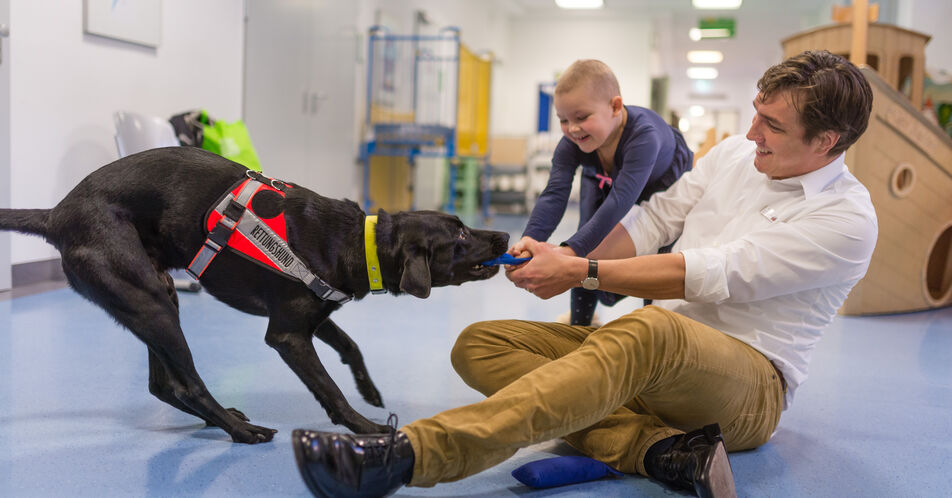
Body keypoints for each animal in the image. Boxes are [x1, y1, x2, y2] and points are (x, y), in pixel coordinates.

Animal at [0, 148, 510, 444]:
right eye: (461, 233)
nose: (505, 235)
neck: (356, 241)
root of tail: (55, 215)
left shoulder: (313, 315)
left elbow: (350, 345)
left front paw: (369, 389)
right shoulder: (287, 335)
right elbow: (329, 388)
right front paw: (365, 429)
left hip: (155, 296)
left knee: (163, 384)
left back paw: (221, 417)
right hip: (149, 302)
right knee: (185, 382)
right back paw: (239, 430)